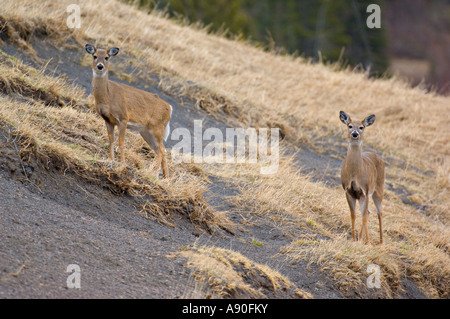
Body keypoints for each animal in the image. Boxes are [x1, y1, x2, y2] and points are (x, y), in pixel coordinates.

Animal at [85, 43, 172, 179]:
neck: (108, 96)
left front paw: (122, 165)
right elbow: (111, 140)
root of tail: (170, 108)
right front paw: (111, 160)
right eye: (94, 56)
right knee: (158, 149)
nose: (100, 66)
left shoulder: (123, 118)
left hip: (157, 128)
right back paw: (164, 178)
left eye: (106, 57)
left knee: (162, 150)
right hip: (146, 131)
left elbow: (121, 143)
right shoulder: (108, 120)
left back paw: (153, 174)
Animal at [340, 110, 384, 245]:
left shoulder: (365, 191)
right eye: (349, 126)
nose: (355, 134)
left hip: (378, 189)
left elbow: (363, 216)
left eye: (361, 127)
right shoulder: (348, 191)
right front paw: (354, 239)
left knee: (379, 213)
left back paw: (380, 241)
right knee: (368, 212)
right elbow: (353, 215)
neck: (355, 175)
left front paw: (366, 242)